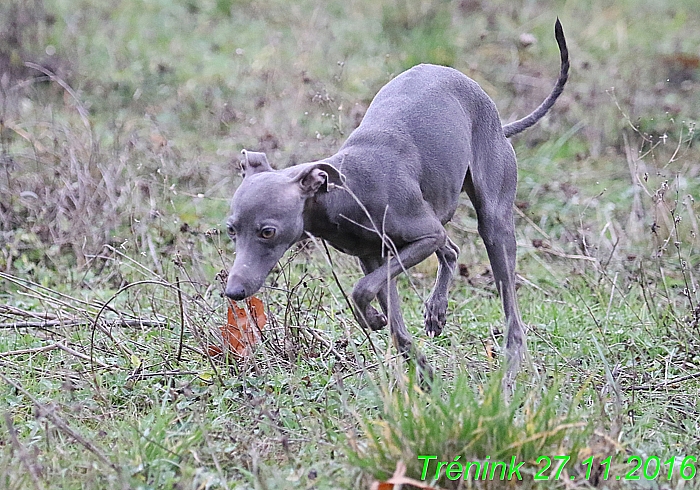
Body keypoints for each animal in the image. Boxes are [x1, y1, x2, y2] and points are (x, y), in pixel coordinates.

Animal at [224, 20, 568, 382]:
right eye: (231, 229)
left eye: (268, 232)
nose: (233, 292)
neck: (346, 190)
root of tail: (500, 121)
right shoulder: (374, 255)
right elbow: (395, 326)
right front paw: (425, 375)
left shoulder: (421, 237)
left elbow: (362, 290)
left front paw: (374, 319)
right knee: (451, 250)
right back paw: (436, 311)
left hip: (493, 222)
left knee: (509, 308)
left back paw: (508, 375)